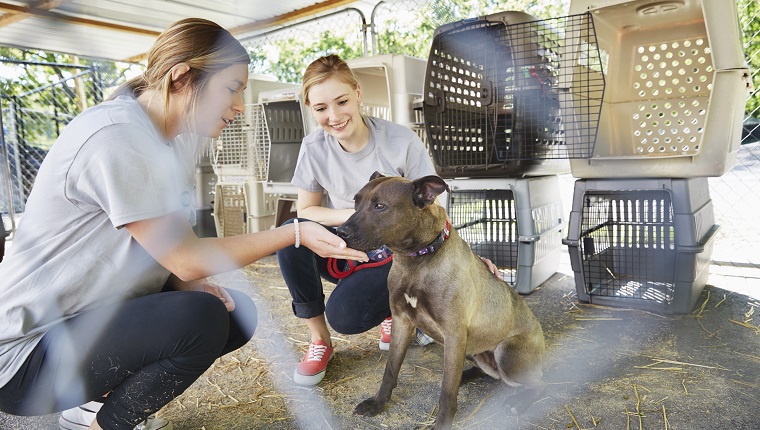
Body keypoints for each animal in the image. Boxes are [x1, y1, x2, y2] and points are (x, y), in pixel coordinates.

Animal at [338, 172, 548, 430]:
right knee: (488, 373)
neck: (418, 259)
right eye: (356, 202)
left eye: (380, 206)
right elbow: (390, 369)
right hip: (474, 350)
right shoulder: (401, 321)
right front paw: (378, 402)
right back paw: (466, 376)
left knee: (539, 384)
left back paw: (519, 401)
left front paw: (443, 421)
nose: (340, 232)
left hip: (506, 353)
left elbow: (447, 392)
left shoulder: (454, 334)